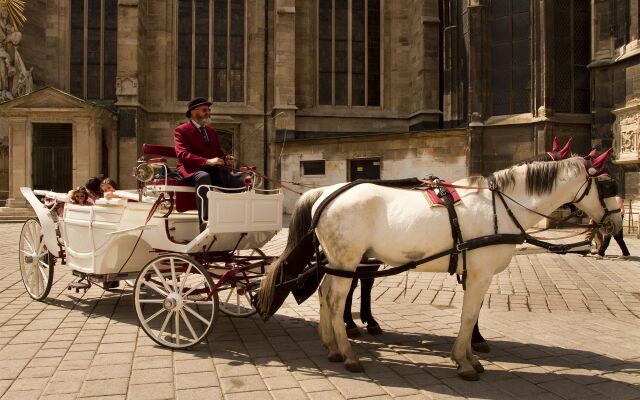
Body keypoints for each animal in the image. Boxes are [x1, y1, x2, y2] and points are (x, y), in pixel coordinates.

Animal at [258, 155, 624, 380]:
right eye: (608, 186)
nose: (615, 225)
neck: (499, 206)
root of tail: (326, 193)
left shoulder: (476, 274)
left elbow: (472, 316)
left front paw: (471, 355)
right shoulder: (479, 273)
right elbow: (468, 315)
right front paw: (464, 361)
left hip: (337, 261)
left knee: (325, 296)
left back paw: (333, 346)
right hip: (347, 259)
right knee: (335, 301)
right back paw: (347, 353)